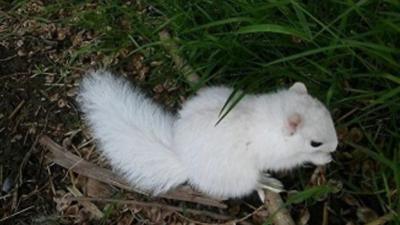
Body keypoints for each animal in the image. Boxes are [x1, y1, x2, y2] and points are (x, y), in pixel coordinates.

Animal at [77, 70, 338, 199]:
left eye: (329, 113)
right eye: (315, 143)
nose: (335, 146)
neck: (274, 120)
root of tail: (185, 162)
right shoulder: (275, 153)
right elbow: (291, 160)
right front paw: (322, 158)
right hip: (239, 177)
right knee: (250, 184)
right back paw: (265, 183)